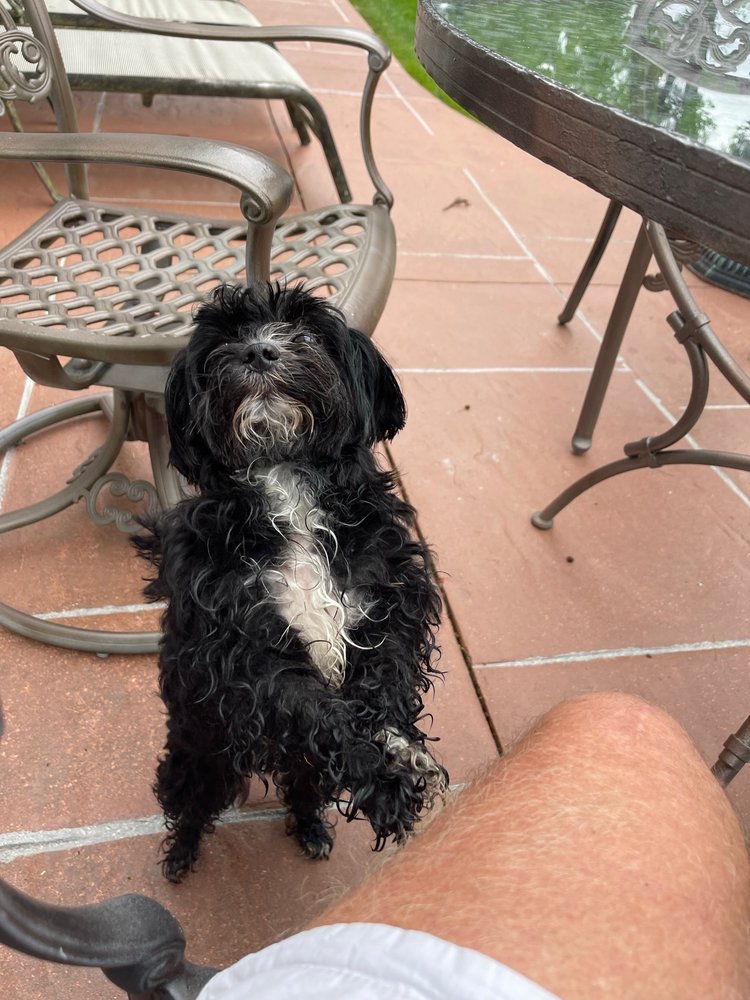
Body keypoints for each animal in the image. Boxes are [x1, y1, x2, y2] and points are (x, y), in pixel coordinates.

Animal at [135, 282, 448, 883]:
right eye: (224, 341)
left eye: (305, 332)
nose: (259, 351)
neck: (285, 479)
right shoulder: (245, 653)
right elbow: (320, 711)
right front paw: (382, 781)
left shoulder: (387, 603)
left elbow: (385, 683)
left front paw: (399, 747)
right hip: (199, 757)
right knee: (189, 808)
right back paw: (180, 857)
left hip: (303, 770)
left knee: (303, 793)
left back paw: (311, 831)